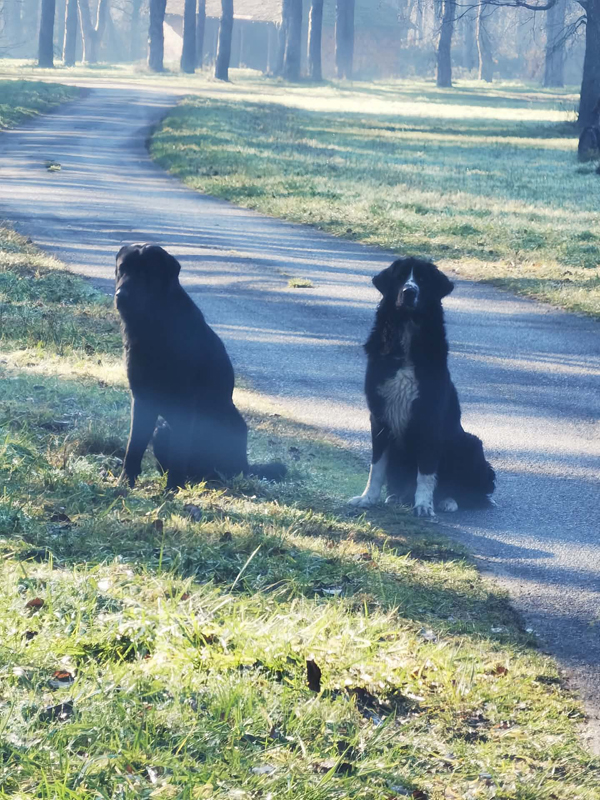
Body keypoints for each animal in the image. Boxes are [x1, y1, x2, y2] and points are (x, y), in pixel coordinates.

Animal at [115, 243, 286, 490]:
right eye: (122, 269)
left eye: (145, 273)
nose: (121, 296)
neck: (154, 325)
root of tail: (247, 467)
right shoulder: (142, 397)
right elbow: (134, 444)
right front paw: (126, 480)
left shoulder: (185, 402)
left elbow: (180, 448)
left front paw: (172, 488)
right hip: (161, 429)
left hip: (227, 424)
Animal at [349, 257, 495, 517]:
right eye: (400, 277)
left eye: (422, 279)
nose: (409, 292)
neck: (407, 329)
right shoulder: (379, 416)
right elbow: (376, 466)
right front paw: (368, 498)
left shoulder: (429, 417)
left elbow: (426, 471)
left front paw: (424, 505)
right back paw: (397, 497)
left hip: (471, 444)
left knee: (472, 493)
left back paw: (448, 500)